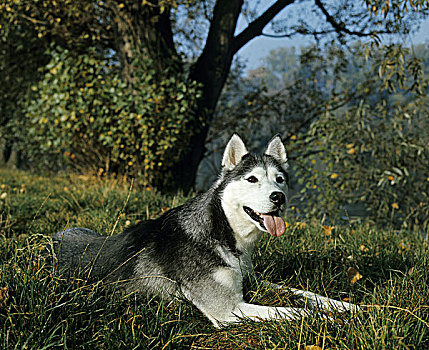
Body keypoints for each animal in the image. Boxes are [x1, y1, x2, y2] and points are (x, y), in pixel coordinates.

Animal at [51, 135, 358, 328]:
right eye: (252, 179)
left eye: (280, 179)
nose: (278, 197)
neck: (221, 232)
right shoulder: (230, 310)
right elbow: (296, 311)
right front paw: (329, 320)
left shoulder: (253, 281)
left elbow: (306, 294)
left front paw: (349, 307)